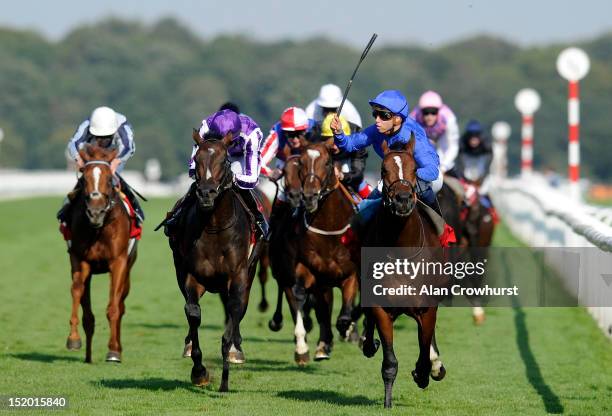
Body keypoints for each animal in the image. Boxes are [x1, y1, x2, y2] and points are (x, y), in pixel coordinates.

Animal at [65, 145, 138, 362]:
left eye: (108, 178)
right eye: (84, 178)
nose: (95, 212)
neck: (99, 229)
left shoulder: (118, 262)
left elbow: (114, 307)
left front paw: (113, 350)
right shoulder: (80, 260)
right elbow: (77, 291)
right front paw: (73, 339)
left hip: (128, 269)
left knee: (120, 304)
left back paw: (117, 349)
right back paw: (88, 356)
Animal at [169, 132, 262, 392]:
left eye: (224, 161)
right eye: (197, 159)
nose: (206, 194)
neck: (214, 227)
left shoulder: (238, 276)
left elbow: (233, 314)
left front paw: (225, 379)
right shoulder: (191, 276)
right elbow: (192, 313)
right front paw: (199, 372)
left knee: (239, 308)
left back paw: (236, 350)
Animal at [358, 136, 450, 406]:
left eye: (415, 169)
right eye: (383, 170)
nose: (402, 200)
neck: (401, 251)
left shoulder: (427, 309)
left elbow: (424, 351)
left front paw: (425, 372)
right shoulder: (382, 309)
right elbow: (389, 363)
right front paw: (388, 402)